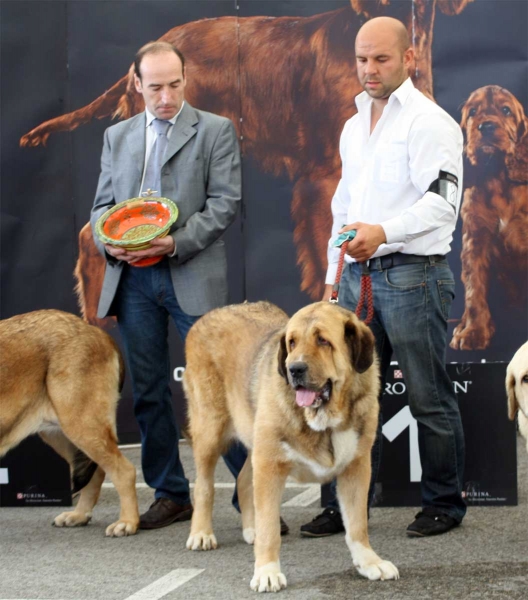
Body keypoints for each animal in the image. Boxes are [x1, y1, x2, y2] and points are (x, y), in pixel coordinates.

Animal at [0, 312, 139, 536]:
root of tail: (95, 330)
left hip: (81, 425)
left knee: (124, 471)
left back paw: (127, 522)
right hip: (63, 434)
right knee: (97, 472)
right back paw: (80, 515)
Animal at [184, 302, 398, 592]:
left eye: (323, 340)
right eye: (292, 342)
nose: (294, 368)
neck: (324, 420)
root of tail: (207, 316)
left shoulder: (356, 467)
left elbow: (357, 524)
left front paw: (369, 562)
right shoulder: (270, 465)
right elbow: (270, 530)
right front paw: (267, 572)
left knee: (243, 480)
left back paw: (250, 529)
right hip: (210, 430)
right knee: (205, 485)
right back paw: (202, 534)